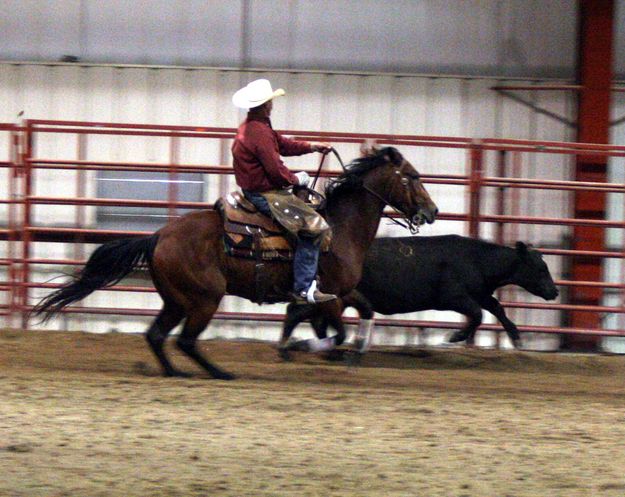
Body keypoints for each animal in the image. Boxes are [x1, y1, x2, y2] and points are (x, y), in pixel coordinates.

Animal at [31, 145, 436, 378]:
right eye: (412, 177)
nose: (432, 211)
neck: (338, 230)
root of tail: (159, 235)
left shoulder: (340, 293)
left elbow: (361, 312)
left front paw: (350, 354)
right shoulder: (327, 297)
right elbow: (333, 332)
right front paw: (298, 349)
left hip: (177, 300)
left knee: (158, 335)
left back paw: (176, 373)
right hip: (205, 298)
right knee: (185, 340)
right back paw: (219, 373)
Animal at [280, 233, 560, 352]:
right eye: (540, 267)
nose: (555, 291)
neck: (477, 260)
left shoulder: (480, 292)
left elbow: (496, 309)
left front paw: (516, 337)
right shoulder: (453, 297)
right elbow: (478, 315)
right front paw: (455, 336)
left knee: (316, 320)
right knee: (299, 312)